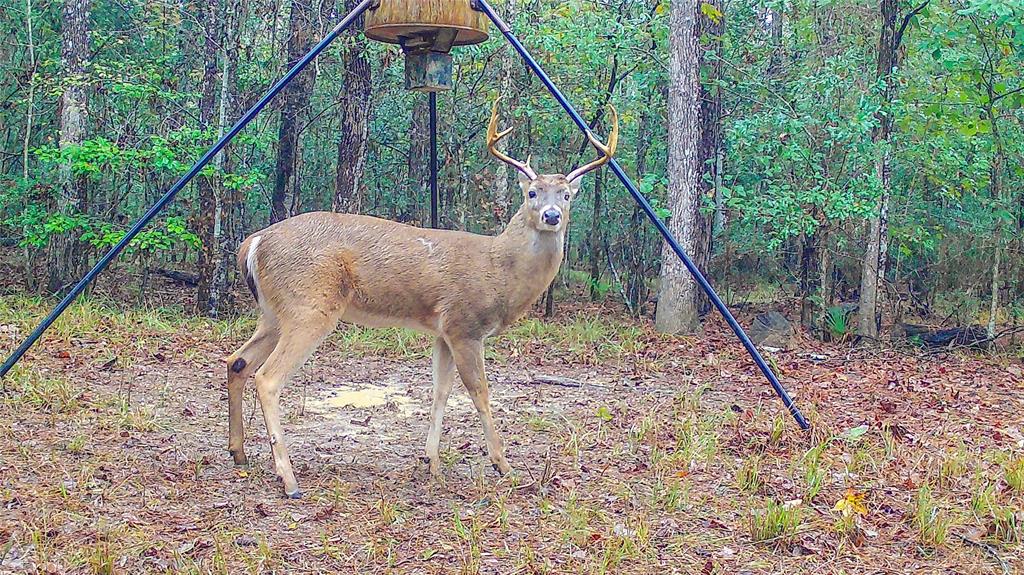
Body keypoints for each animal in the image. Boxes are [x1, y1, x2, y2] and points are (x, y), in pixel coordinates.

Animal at [226, 96, 614, 495]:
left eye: (566, 195)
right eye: (532, 192)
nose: (552, 216)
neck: (499, 271)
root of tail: (253, 242)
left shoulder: (443, 332)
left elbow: (440, 392)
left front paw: (432, 464)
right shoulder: (465, 325)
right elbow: (480, 393)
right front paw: (503, 465)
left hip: (274, 311)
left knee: (237, 361)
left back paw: (239, 453)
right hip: (309, 305)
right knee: (267, 377)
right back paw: (288, 478)